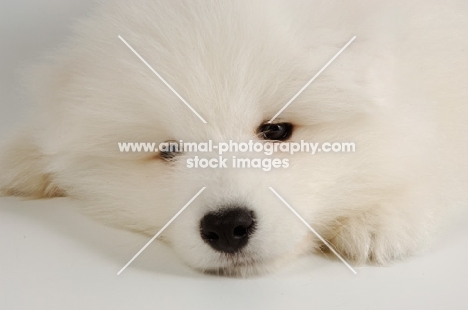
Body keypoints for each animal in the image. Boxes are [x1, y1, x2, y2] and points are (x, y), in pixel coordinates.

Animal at [0, 0, 468, 276]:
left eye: (276, 130)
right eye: (168, 151)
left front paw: (379, 219)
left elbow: (438, 163)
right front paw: (21, 156)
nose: (227, 226)